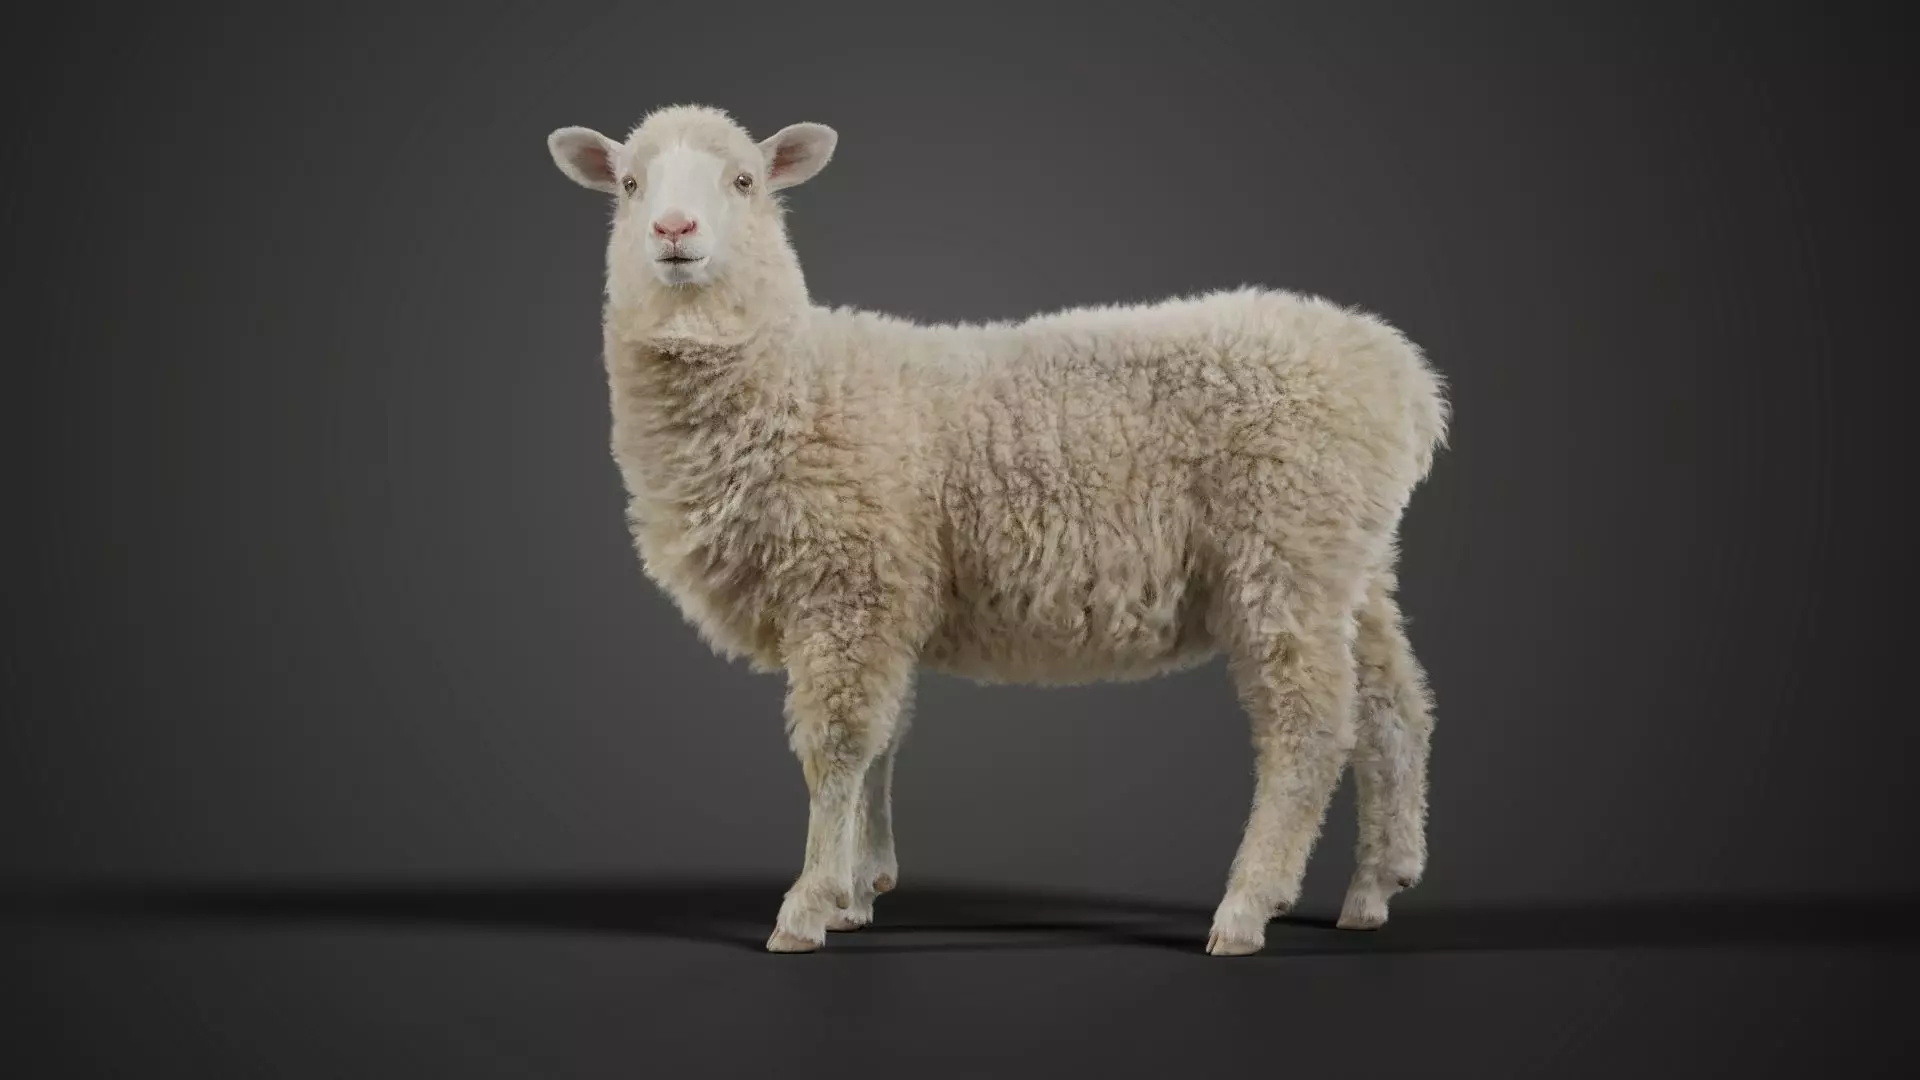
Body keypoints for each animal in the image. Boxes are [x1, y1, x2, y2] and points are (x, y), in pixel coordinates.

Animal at [544, 104, 1450, 956]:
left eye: (743, 182)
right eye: (629, 185)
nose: (673, 232)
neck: (797, 384)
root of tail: (1404, 376)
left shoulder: (849, 583)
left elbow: (838, 746)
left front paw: (807, 904)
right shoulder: (891, 597)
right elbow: (884, 740)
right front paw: (859, 891)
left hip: (1285, 544)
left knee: (1309, 726)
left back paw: (1248, 904)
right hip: (1352, 558)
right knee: (1394, 707)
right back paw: (1378, 883)